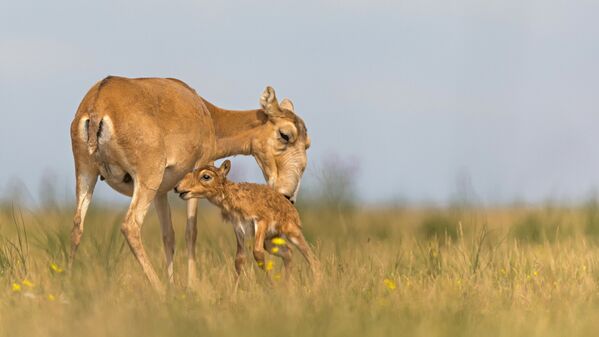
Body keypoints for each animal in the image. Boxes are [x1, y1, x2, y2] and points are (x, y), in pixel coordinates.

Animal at [70, 75, 312, 292]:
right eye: (285, 134)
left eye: (307, 143)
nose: (288, 195)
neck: (208, 114)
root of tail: (100, 100)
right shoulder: (193, 178)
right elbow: (191, 231)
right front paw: (190, 285)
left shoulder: (161, 192)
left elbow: (168, 235)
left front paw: (173, 283)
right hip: (146, 180)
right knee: (130, 225)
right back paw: (158, 289)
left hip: (86, 174)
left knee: (77, 226)